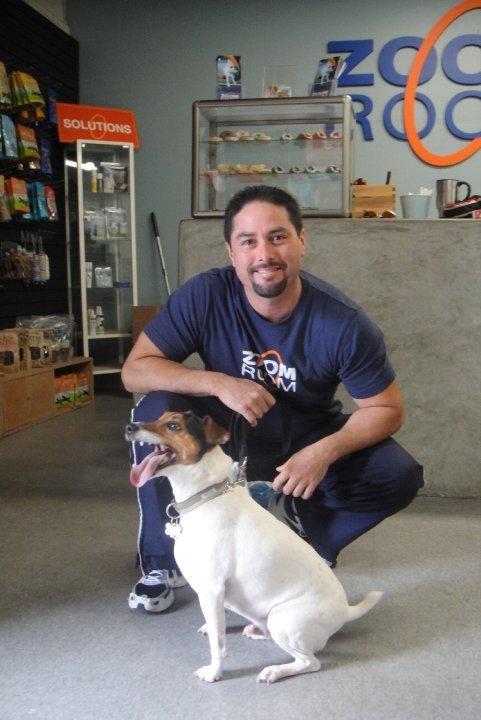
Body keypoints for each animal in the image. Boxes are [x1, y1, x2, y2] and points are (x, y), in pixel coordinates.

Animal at [124, 414, 382, 684]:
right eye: (160, 418)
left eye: (173, 425)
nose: (129, 427)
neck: (206, 496)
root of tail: (345, 611)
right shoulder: (213, 595)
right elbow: (217, 627)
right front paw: (210, 628)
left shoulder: (212, 589)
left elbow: (218, 644)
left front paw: (214, 672)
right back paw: (256, 631)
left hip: (283, 620)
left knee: (310, 662)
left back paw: (275, 671)